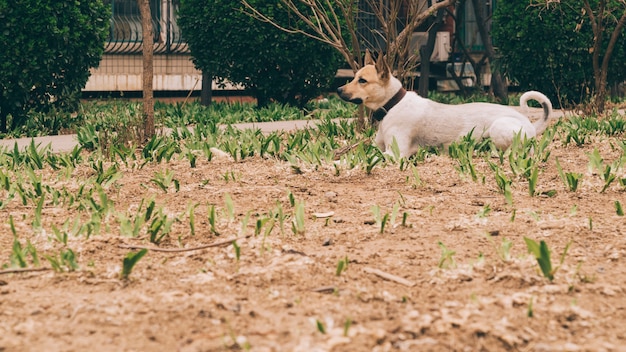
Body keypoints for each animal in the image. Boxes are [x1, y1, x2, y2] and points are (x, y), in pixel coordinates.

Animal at [336, 51, 552, 158]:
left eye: (362, 81)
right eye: (354, 77)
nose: (338, 90)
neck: (392, 105)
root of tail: (530, 124)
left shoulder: (394, 153)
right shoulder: (377, 146)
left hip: (499, 127)